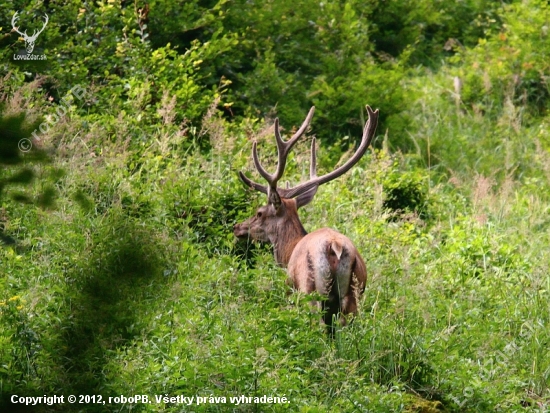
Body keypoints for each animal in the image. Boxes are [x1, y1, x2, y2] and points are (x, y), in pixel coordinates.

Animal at [235, 104, 382, 334]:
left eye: (259, 213)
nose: (237, 227)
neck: (288, 252)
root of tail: (335, 246)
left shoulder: (291, 286)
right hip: (354, 291)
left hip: (310, 289)